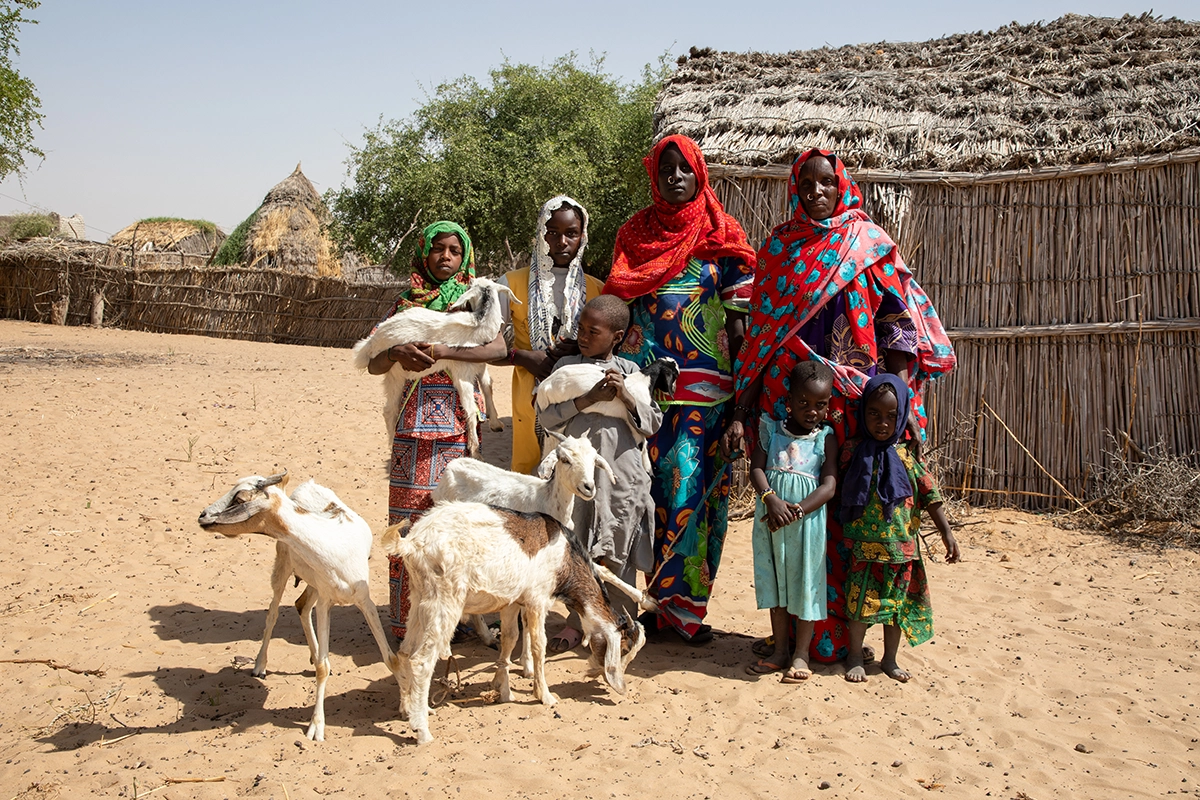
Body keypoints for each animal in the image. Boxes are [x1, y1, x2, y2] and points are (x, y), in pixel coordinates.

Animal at [198, 472, 403, 743]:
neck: (333, 547)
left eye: (240, 498)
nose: (203, 516)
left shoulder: (363, 599)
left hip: (312, 583)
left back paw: (312, 653)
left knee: (301, 605)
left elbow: (390, 657)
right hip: (284, 568)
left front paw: (407, 707)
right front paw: (316, 727)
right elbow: (322, 669)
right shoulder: (326, 602)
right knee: (273, 613)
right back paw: (260, 665)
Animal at [348, 278, 516, 455]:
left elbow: (487, 386)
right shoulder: (462, 372)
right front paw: (475, 450)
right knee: (390, 409)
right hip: (396, 371)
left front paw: (495, 423)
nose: (469, 280)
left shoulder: (481, 363)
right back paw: (391, 441)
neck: (479, 324)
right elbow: (470, 408)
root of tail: (371, 342)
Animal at [381, 503, 648, 748]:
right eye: (624, 649)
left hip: (420, 598)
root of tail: (413, 543)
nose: (620, 687)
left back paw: (410, 709)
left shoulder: (511, 602)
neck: (565, 559)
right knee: (421, 661)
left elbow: (509, 639)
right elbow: (539, 647)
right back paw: (422, 730)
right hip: (445, 600)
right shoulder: (537, 600)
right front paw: (545, 695)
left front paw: (502, 689)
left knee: (404, 653)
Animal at [532, 355, 676, 470]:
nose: (674, 389)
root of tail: (543, 387)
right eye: (675, 374)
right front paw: (647, 467)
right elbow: (643, 444)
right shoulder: (633, 425)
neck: (643, 380)